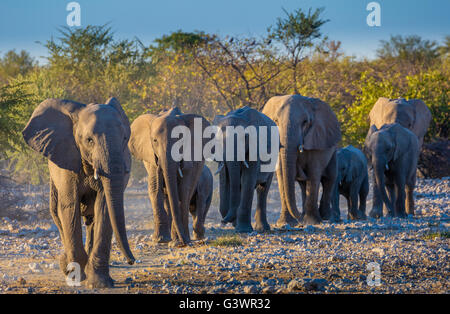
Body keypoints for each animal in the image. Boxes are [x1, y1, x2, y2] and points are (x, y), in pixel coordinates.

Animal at [22, 97, 135, 288]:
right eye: (89, 140)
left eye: (125, 138)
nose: (131, 261)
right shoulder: (66, 161)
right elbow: (69, 207)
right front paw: (75, 276)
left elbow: (104, 208)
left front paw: (100, 283)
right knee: (57, 213)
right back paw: (65, 264)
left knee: (92, 219)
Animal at [128, 107, 209, 245]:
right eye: (154, 141)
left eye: (181, 140)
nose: (185, 242)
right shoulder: (151, 156)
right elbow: (155, 187)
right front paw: (161, 240)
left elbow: (184, 189)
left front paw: (179, 241)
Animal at [260, 94, 342, 224]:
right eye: (276, 121)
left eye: (305, 122)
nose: (298, 218)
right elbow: (281, 175)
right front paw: (285, 223)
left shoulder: (316, 138)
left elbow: (314, 174)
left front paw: (311, 222)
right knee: (304, 184)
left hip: (332, 149)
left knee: (329, 178)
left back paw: (325, 217)